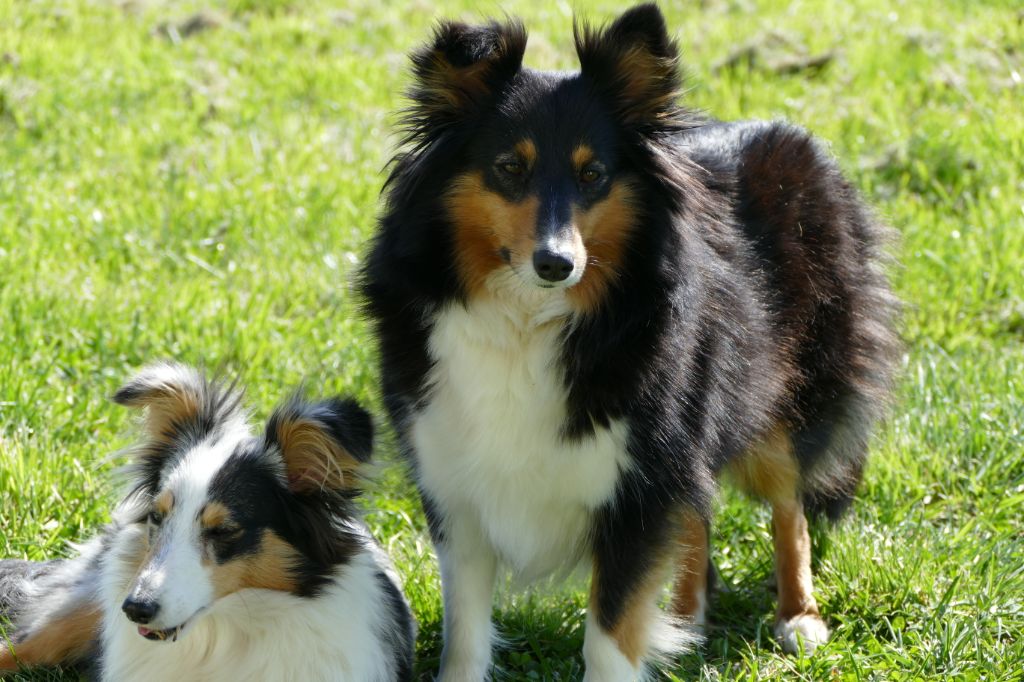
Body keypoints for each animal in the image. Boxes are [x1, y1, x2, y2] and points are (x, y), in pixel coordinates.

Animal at [360, 2, 897, 675]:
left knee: (788, 500)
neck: (529, 318)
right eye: (509, 168)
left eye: (593, 174)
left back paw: (799, 616)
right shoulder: (455, 484)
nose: (556, 263)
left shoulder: (640, 483)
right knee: (699, 514)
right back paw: (689, 614)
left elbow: (611, 632)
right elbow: (466, 633)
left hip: (778, 394)